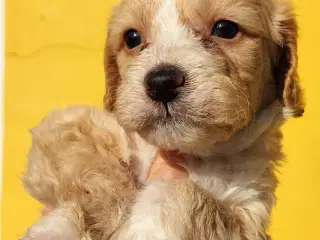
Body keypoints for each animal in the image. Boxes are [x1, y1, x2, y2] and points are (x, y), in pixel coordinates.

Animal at [21, 0, 302, 239]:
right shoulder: (64, 126)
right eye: (132, 38)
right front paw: (99, 219)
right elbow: (82, 153)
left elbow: (186, 194)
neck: (190, 153)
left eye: (225, 29)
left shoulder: (247, 215)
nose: (162, 82)